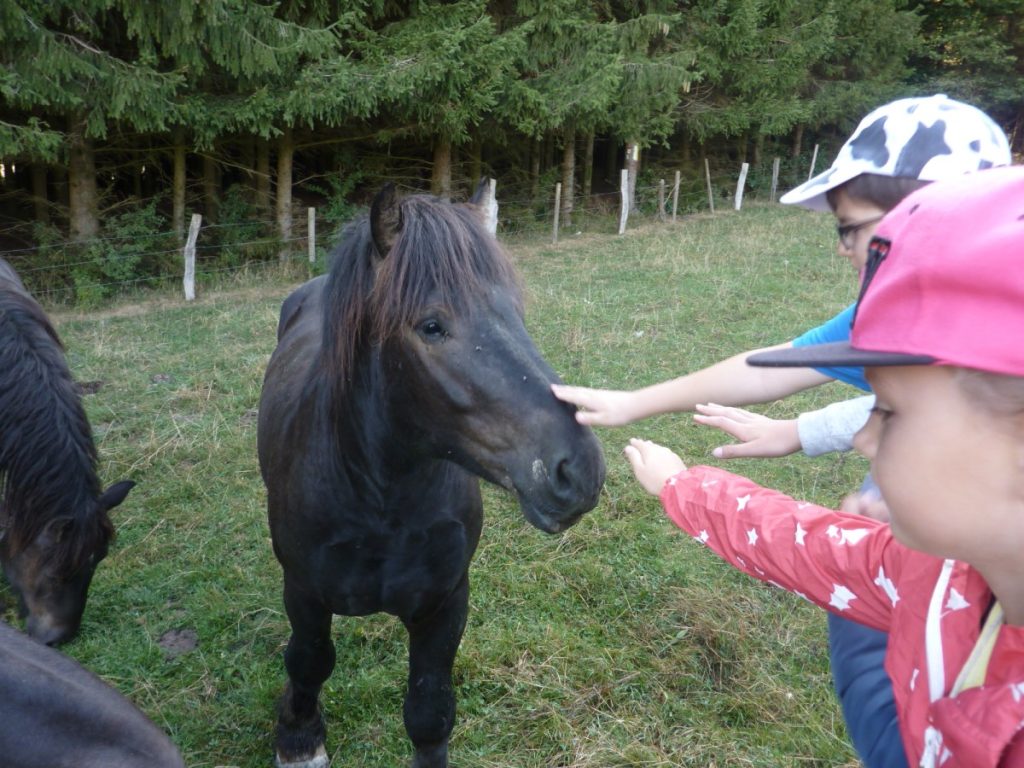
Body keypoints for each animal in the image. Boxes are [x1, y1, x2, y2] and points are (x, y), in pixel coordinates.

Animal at [257, 181, 606, 768]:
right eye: (432, 326)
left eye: (516, 313)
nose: (578, 469)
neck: (379, 501)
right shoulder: (302, 592)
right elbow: (308, 660)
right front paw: (299, 738)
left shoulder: (445, 604)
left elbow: (429, 712)